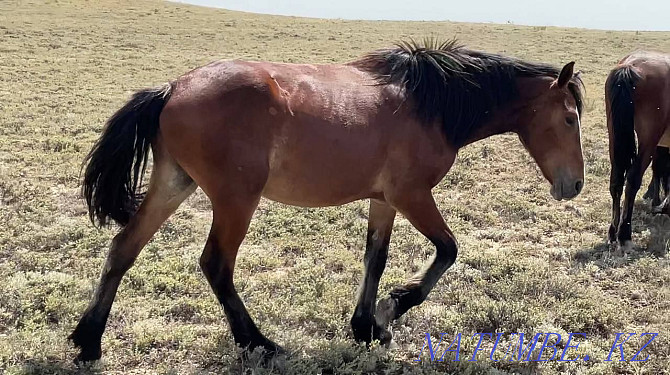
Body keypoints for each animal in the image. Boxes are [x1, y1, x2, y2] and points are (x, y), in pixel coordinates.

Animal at [69, 39, 584, 362]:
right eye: (570, 118)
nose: (575, 185)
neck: (430, 104)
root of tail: (172, 88)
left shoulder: (385, 199)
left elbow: (375, 257)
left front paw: (365, 326)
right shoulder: (413, 195)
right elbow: (447, 250)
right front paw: (392, 308)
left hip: (174, 184)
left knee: (124, 249)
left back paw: (88, 340)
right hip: (236, 199)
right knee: (216, 264)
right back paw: (257, 342)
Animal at [612, 50, 670, 250]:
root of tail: (630, 65)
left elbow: (659, 168)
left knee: (616, 178)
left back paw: (613, 230)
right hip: (648, 138)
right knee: (633, 178)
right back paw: (624, 234)